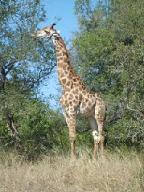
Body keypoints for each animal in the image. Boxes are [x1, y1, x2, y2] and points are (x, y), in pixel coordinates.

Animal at [33, 23, 106, 158]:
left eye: (46, 31)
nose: (34, 34)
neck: (65, 84)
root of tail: (105, 102)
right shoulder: (65, 113)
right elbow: (70, 136)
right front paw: (73, 158)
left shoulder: (72, 111)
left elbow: (73, 136)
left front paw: (73, 159)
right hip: (90, 116)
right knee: (96, 137)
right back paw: (94, 159)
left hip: (100, 114)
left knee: (102, 135)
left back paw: (103, 158)